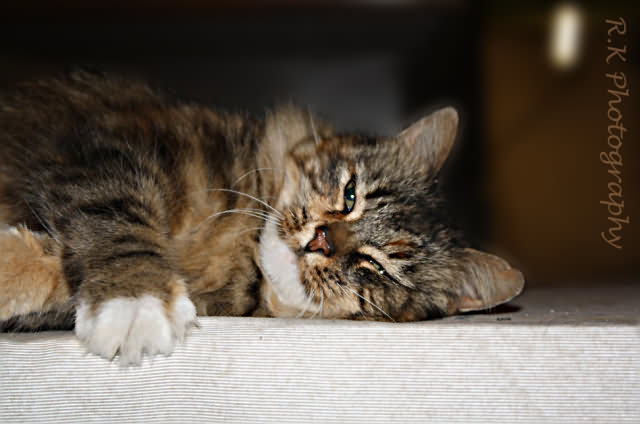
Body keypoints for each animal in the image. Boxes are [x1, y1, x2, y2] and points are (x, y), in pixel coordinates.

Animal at [0, 70, 524, 364]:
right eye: (350, 194)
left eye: (376, 266)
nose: (321, 240)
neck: (238, 237)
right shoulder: (106, 150)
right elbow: (118, 225)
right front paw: (135, 300)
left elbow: (57, 268)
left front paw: (132, 306)